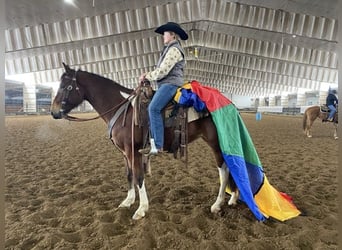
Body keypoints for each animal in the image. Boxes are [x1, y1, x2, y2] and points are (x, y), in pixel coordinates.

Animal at [50, 63, 239, 220]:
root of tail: (228, 103)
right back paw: (233, 198)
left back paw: (217, 204)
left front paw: (141, 209)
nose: (53, 112)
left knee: (224, 171)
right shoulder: (125, 153)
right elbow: (129, 174)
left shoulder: (133, 151)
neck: (122, 109)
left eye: (66, 86)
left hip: (216, 144)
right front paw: (128, 201)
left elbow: (139, 176)